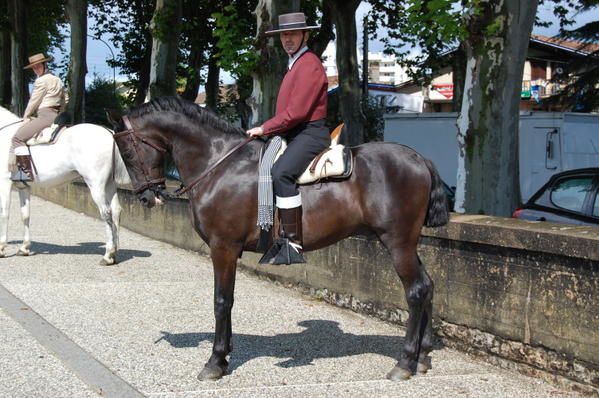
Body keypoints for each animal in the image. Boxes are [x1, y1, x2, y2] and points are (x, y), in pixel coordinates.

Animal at [0, 105, 131, 264]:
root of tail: (108, 132)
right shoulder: (23, 187)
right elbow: (25, 215)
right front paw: (24, 248)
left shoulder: (4, 183)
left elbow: (4, 214)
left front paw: (2, 248)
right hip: (109, 184)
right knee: (116, 210)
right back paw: (114, 252)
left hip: (96, 185)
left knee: (106, 213)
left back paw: (108, 254)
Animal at [109, 96, 450, 382]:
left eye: (126, 151)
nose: (146, 196)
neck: (219, 163)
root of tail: (419, 159)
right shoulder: (228, 251)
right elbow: (229, 300)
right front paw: (226, 353)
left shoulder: (223, 248)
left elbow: (221, 301)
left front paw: (216, 361)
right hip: (408, 243)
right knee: (428, 285)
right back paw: (423, 356)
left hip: (397, 242)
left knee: (416, 291)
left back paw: (405, 362)